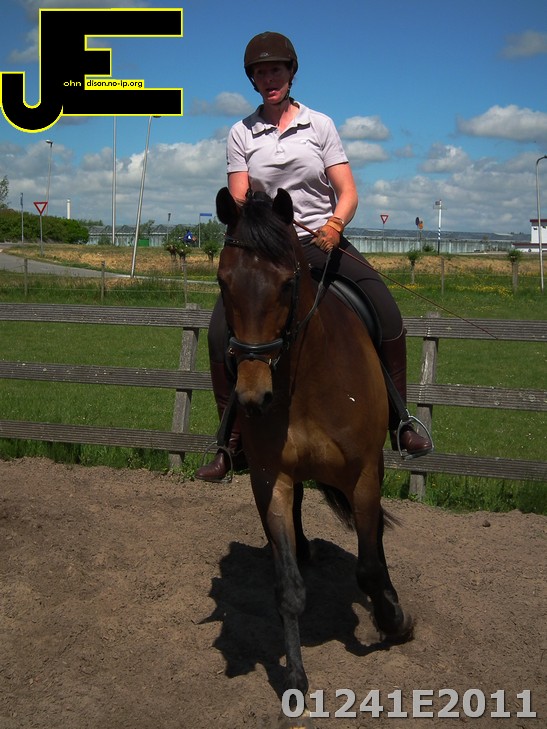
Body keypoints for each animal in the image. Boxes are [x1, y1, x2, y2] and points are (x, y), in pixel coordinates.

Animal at [215, 186, 413, 726]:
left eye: (288, 283)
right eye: (222, 281)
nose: (253, 397)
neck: (304, 377)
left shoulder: (364, 474)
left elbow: (370, 566)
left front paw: (394, 620)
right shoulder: (271, 478)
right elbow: (288, 589)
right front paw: (295, 680)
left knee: (372, 543)